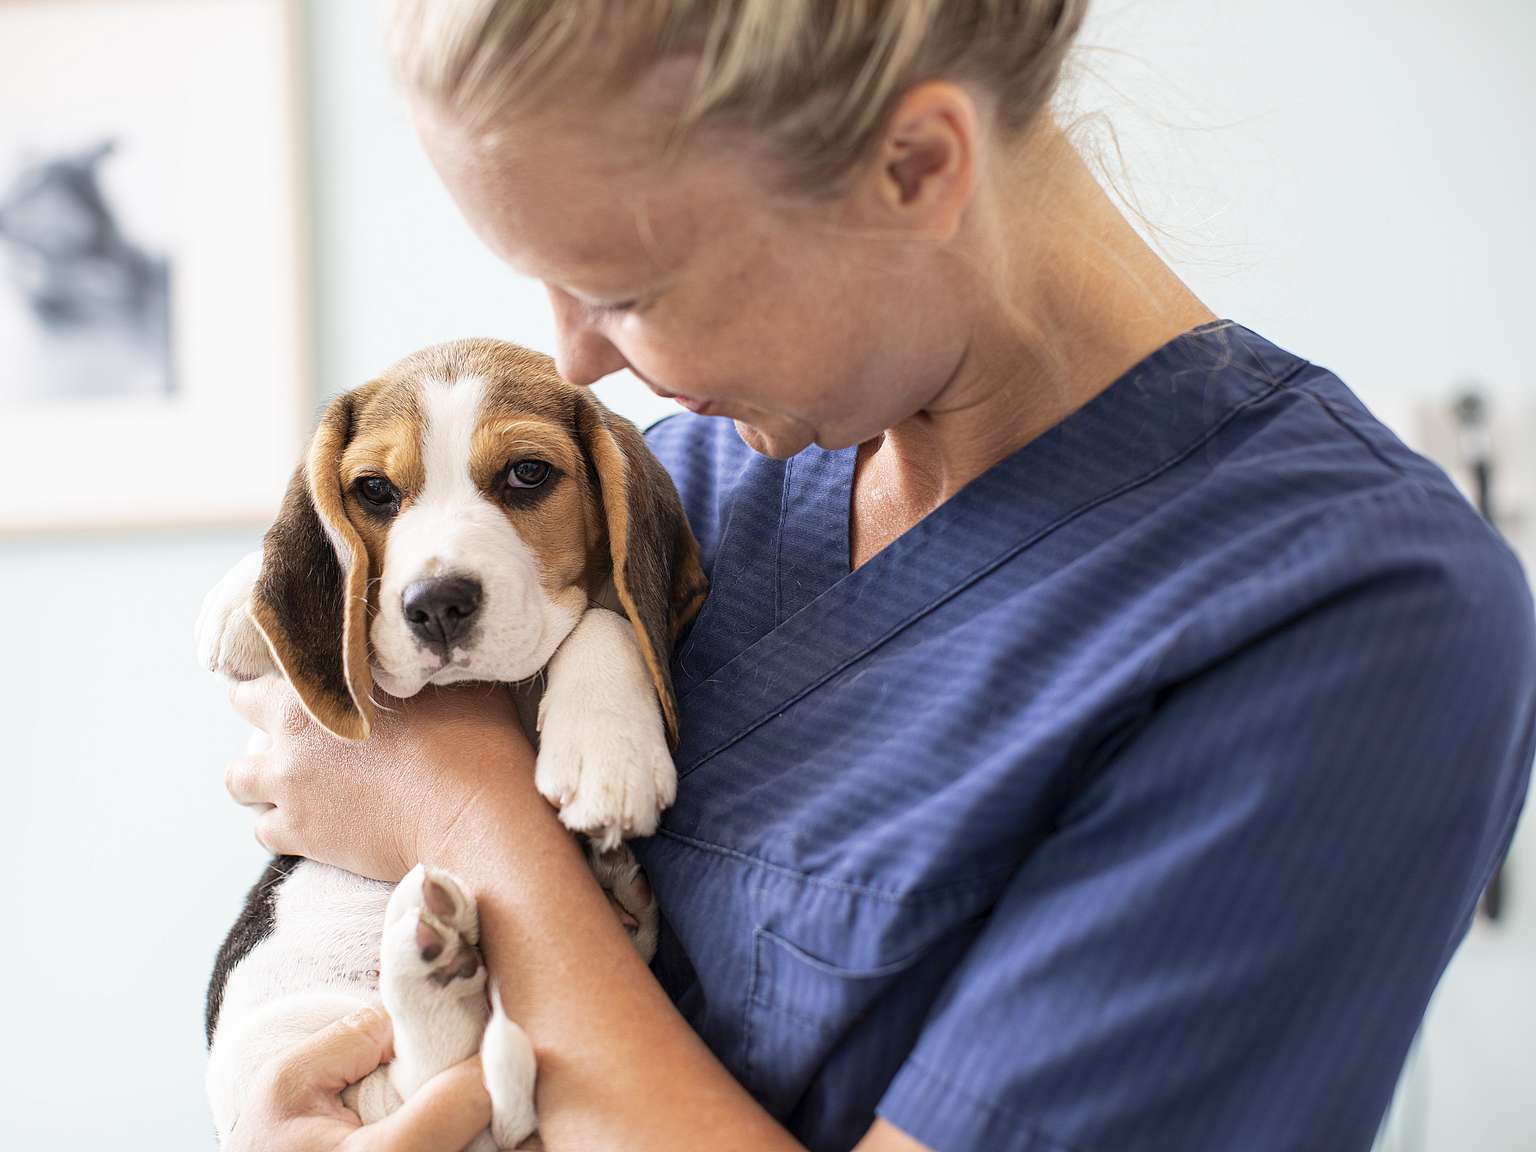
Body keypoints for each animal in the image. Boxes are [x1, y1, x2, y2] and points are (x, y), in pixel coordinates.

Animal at [195, 337, 709, 1148]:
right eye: (374, 490)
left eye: (528, 474)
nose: (435, 606)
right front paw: (240, 602)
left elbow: (606, 617)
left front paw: (608, 756)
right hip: (275, 1035)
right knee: (424, 1078)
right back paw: (436, 955)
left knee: (439, 1073)